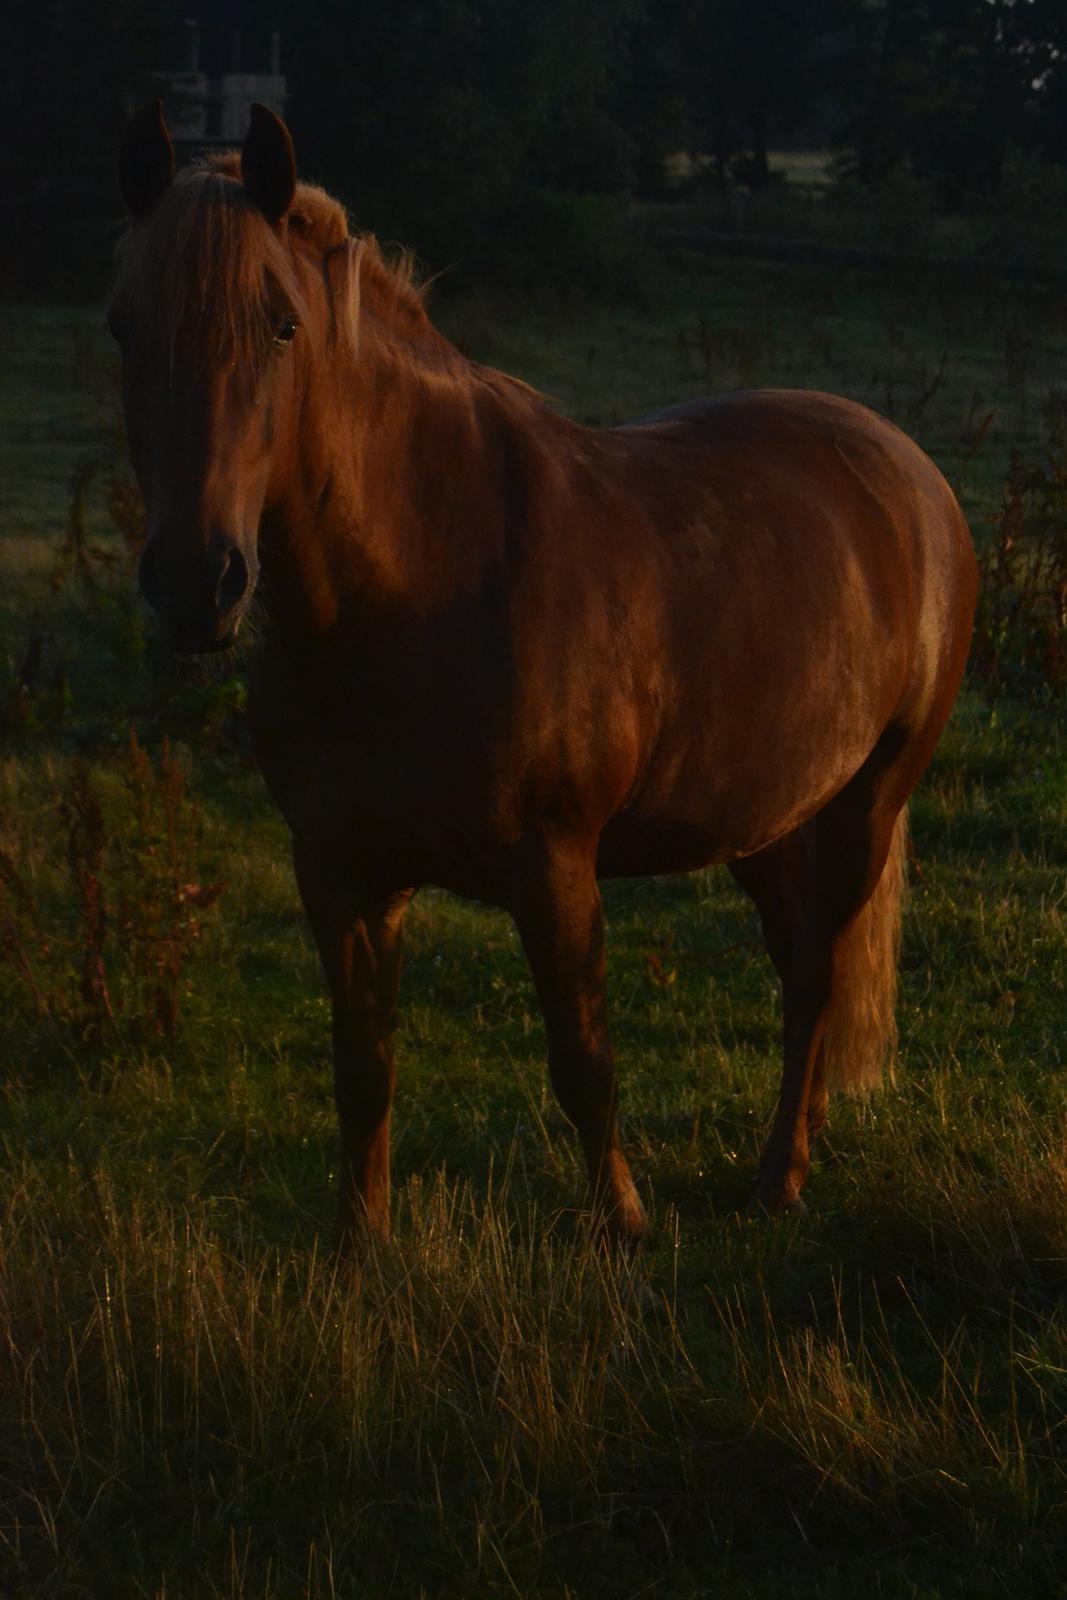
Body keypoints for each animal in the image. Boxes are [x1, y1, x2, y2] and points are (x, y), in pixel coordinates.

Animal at [115, 103, 979, 1248]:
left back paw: (776, 1178)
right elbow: (363, 1068)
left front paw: (624, 1224)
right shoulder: (338, 874)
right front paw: (359, 1245)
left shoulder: (553, 869)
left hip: (866, 805)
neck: (418, 581)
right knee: (805, 960)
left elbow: (582, 1061)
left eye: (282, 327)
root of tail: (906, 472)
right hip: (760, 821)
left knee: (812, 979)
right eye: (124, 327)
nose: (193, 582)